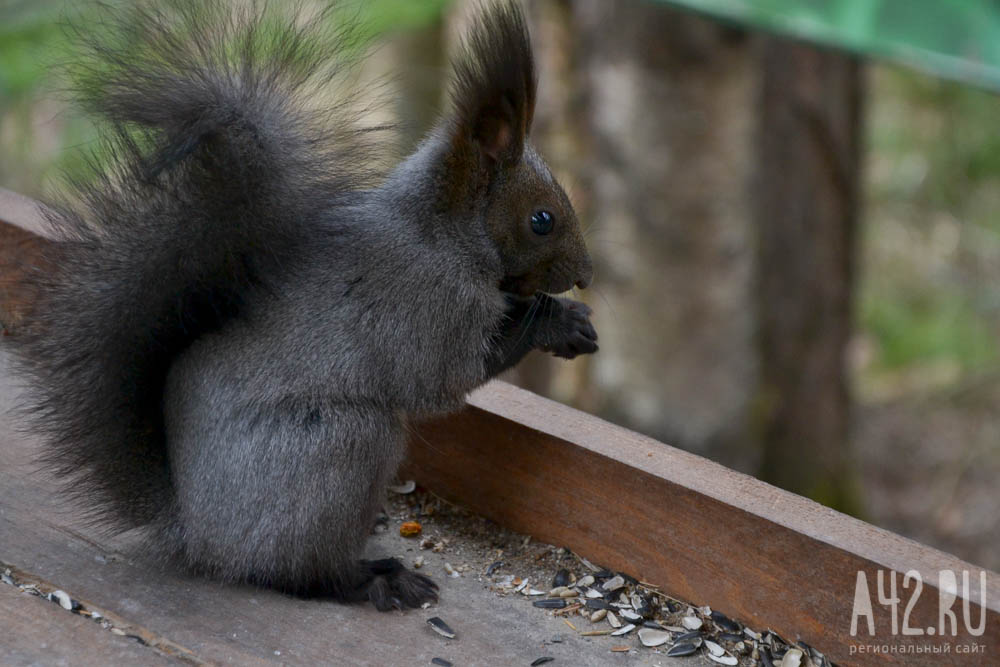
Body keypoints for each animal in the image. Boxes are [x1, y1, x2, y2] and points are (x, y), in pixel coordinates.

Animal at [7, 0, 596, 612]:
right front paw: (557, 323)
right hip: (338, 443)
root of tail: (197, 533)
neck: (438, 231)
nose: (587, 276)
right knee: (301, 573)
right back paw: (374, 579)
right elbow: (446, 379)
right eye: (542, 220)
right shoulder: (424, 307)